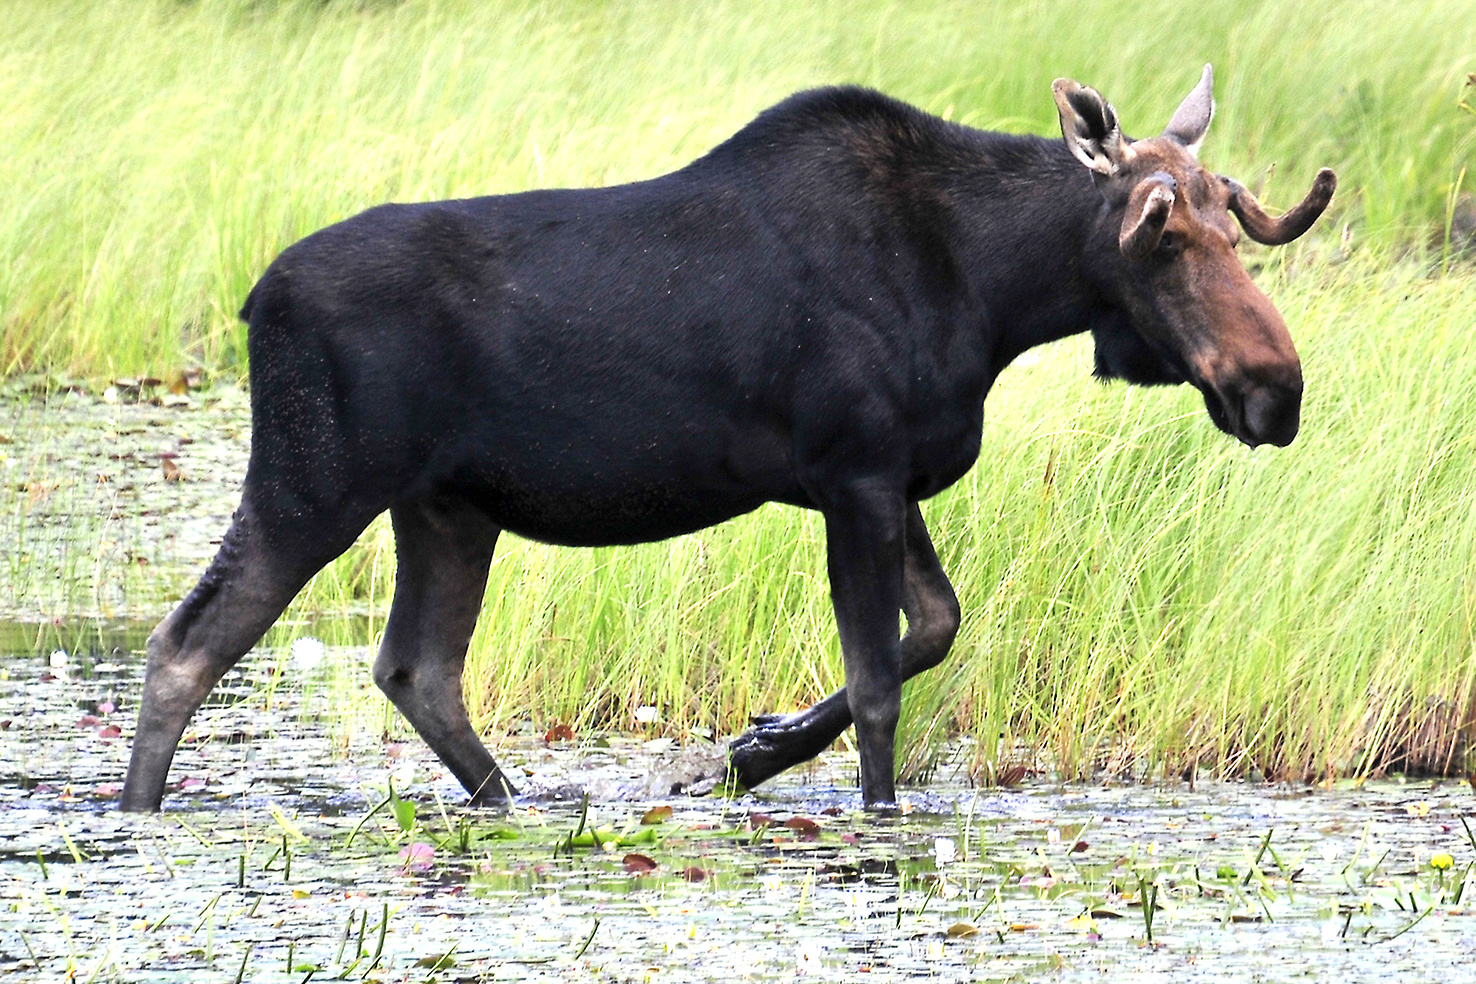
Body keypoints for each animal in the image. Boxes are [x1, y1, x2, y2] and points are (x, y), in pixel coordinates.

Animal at [121, 67, 1334, 808]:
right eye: (1159, 233)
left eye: (1236, 224)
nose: (1276, 388)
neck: (997, 294)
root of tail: (253, 302)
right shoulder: (856, 471)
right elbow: (883, 682)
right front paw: (857, 803)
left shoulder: (891, 477)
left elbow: (934, 627)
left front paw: (754, 752)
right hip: (316, 478)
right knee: (187, 644)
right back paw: (136, 819)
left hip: (447, 507)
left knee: (417, 667)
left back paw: (515, 801)